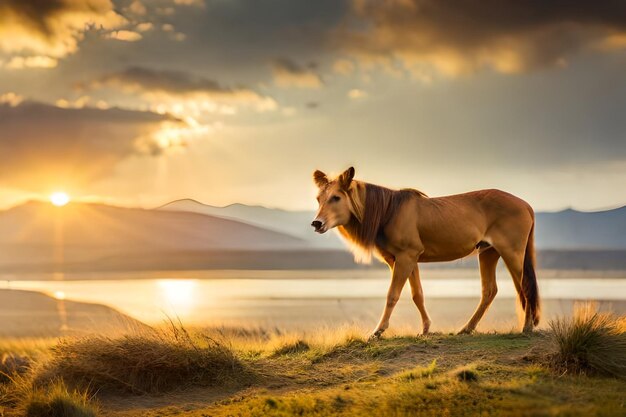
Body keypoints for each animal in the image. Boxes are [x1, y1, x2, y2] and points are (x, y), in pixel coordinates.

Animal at [310, 166, 540, 338]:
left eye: (336, 197)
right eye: (318, 198)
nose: (316, 223)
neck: (389, 212)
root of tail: (527, 205)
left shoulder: (406, 257)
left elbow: (392, 294)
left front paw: (377, 331)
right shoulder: (404, 259)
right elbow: (417, 294)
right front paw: (426, 328)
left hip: (512, 251)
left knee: (525, 286)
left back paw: (527, 327)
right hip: (488, 252)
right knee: (489, 290)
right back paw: (466, 328)